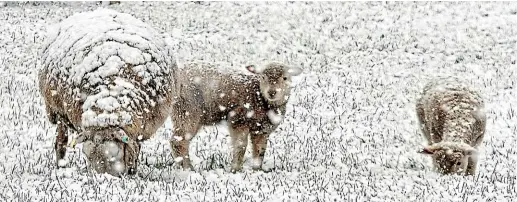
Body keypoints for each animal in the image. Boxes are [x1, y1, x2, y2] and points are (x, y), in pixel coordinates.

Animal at [38, 8, 177, 175]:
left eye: (114, 155)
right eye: (87, 156)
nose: (102, 177)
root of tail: (100, 10)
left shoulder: (140, 129)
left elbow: (135, 148)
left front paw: (133, 170)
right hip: (57, 110)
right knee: (61, 138)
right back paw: (60, 164)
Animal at [170, 61, 302, 172]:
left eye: (285, 78)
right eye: (263, 77)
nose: (272, 92)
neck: (259, 97)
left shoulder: (262, 130)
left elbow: (260, 151)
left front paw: (257, 169)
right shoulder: (238, 120)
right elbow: (241, 145)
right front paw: (236, 168)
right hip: (188, 110)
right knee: (178, 141)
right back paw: (187, 168)